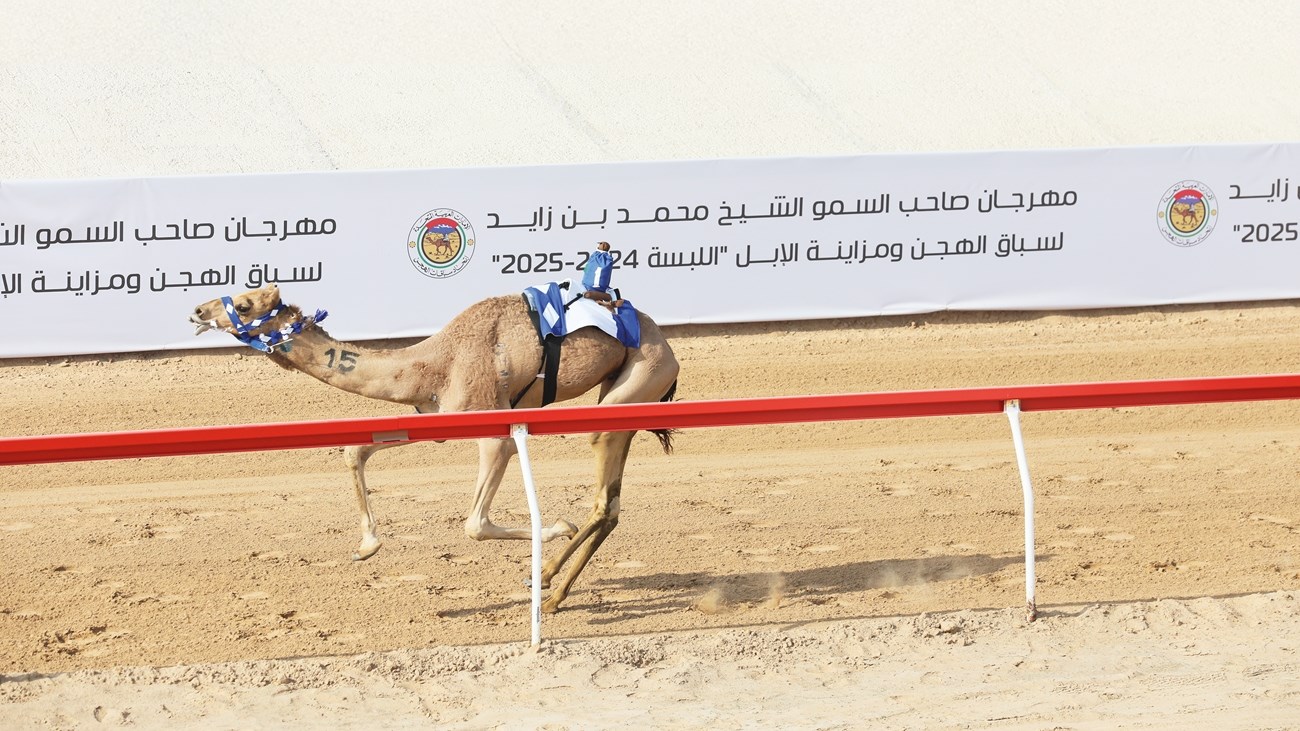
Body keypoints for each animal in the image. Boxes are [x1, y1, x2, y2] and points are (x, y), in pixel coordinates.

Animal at [195, 282, 681, 611]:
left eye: (244, 304)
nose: (198, 309)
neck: (434, 363)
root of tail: (668, 348)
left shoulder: (494, 431)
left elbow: (475, 524)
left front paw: (556, 526)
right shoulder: (435, 416)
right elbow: (355, 451)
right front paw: (367, 545)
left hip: (641, 375)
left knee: (602, 495)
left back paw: (548, 581)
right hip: (623, 398)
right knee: (612, 503)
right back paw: (552, 587)